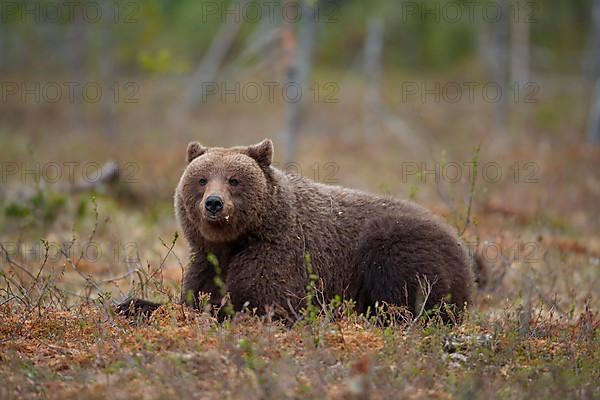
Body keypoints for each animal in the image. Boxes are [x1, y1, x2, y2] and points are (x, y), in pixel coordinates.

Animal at [116, 140, 474, 322]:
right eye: (201, 179)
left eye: (234, 179)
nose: (214, 204)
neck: (236, 241)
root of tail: (460, 245)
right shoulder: (208, 259)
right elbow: (195, 295)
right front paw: (131, 304)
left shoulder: (281, 254)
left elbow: (265, 303)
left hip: (399, 242)